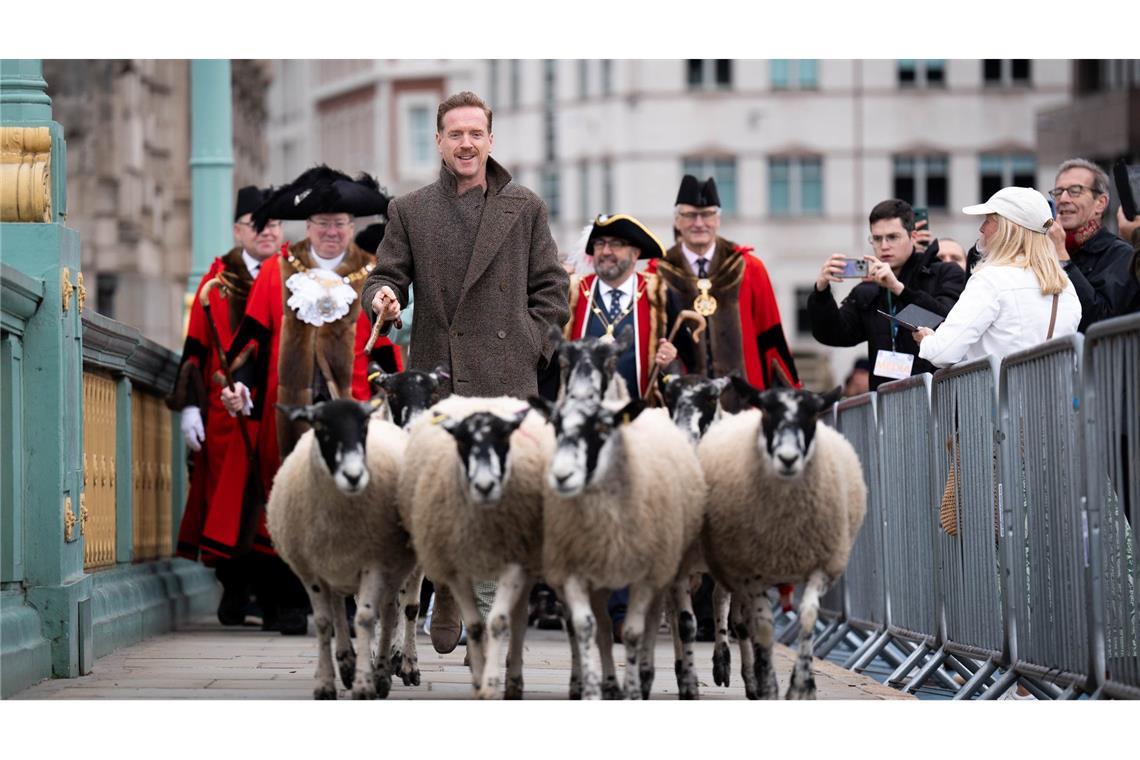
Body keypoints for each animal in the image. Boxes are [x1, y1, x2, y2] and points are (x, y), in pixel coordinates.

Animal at [264, 398, 417, 701]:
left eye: (362, 426)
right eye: (320, 426)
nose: (353, 475)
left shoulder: (376, 562)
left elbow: (375, 615)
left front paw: (369, 680)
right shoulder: (317, 569)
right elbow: (330, 620)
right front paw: (331, 681)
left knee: (403, 609)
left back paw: (401, 665)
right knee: (353, 609)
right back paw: (352, 663)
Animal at [528, 398, 706, 701]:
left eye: (602, 428)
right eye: (556, 425)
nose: (563, 475)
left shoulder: (652, 575)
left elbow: (644, 629)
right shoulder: (576, 573)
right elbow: (590, 629)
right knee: (596, 628)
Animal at [697, 376, 866, 701]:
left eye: (813, 415)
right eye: (767, 413)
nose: (788, 459)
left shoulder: (821, 566)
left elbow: (808, 617)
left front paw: (802, 686)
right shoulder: (751, 571)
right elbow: (761, 626)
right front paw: (767, 683)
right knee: (722, 602)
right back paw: (725, 664)